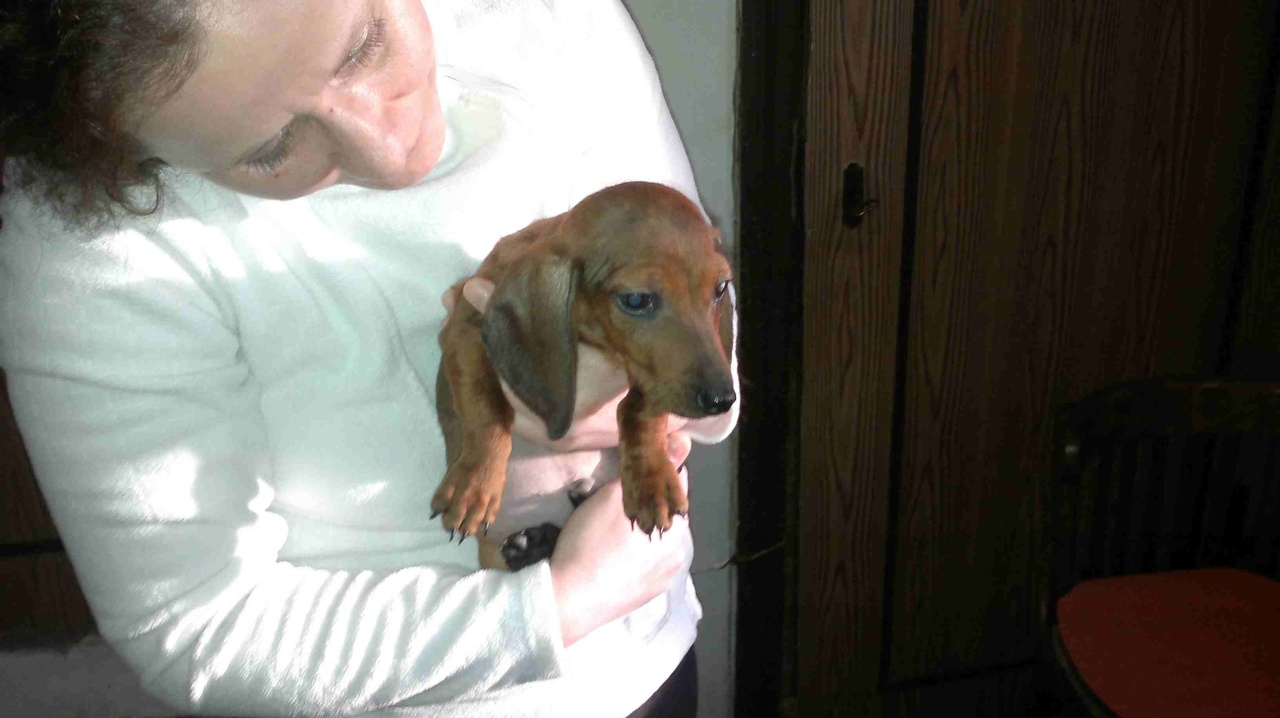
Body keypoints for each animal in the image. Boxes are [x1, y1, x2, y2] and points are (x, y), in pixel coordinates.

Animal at [432, 181, 736, 568]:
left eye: (721, 288)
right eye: (636, 300)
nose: (723, 399)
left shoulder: (649, 377)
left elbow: (639, 410)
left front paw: (651, 480)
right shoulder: (465, 326)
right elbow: (486, 406)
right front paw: (475, 483)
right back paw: (530, 545)